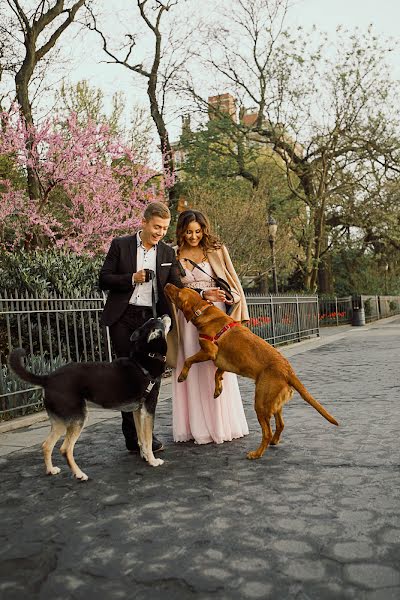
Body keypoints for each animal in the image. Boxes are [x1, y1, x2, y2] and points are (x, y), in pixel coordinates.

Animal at [8, 316, 170, 480]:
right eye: (159, 320)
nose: (165, 315)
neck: (145, 358)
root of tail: (48, 379)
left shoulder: (137, 410)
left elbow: (141, 438)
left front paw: (145, 456)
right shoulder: (149, 408)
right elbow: (147, 439)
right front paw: (153, 461)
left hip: (60, 422)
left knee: (47, 445)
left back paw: (51, 470)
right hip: (78, 418)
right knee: (65, 449)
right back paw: (79, 475)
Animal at [166, 284, 338, 460]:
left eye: (178, 292)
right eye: (181, 288)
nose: (167, 284)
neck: (203, 310)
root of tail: (288, 370)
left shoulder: (210, 352)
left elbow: (188, 360)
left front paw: (182, 375)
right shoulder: (223, 361)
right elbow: (217, 374)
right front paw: (217, 389)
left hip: (261, 403)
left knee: (267, 433)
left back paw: (256, 453)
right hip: (274, 403)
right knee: (281, 424)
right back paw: (274, 441)